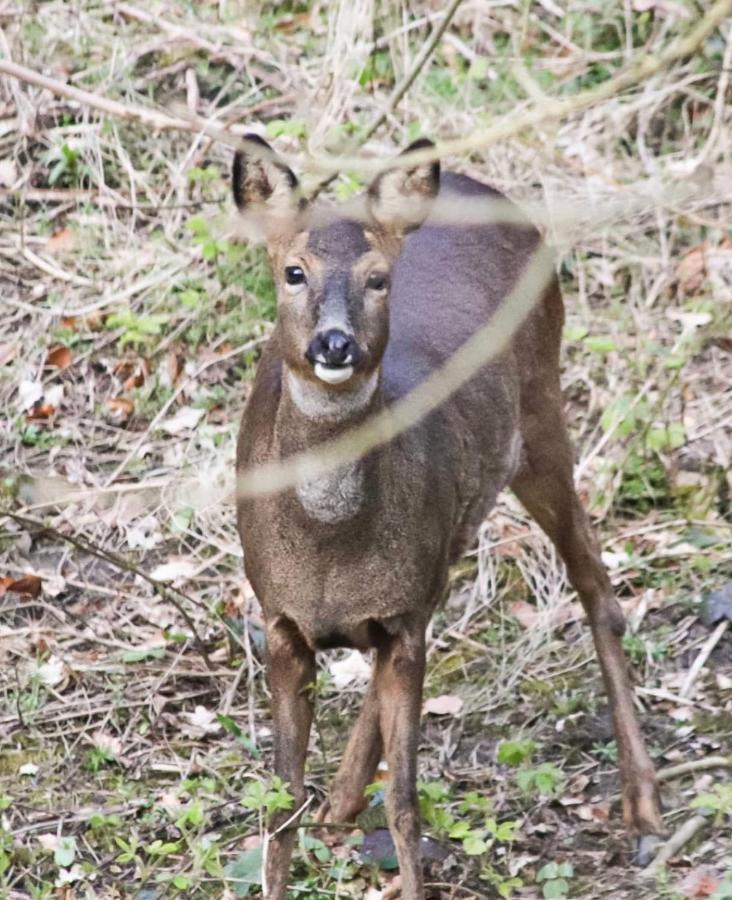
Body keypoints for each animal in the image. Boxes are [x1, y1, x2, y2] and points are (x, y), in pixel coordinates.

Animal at [233, 135, 664, 900]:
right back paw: (342, 798)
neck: (328, 547)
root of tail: (475, 185)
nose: (335, 344)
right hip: (460, 510)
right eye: (293, 271)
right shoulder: (281, 619)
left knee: (594, 580)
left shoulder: (401, 619)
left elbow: (406, 803)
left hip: (540, 412)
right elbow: (281, 802)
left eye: (379, 279)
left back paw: (642, 802)